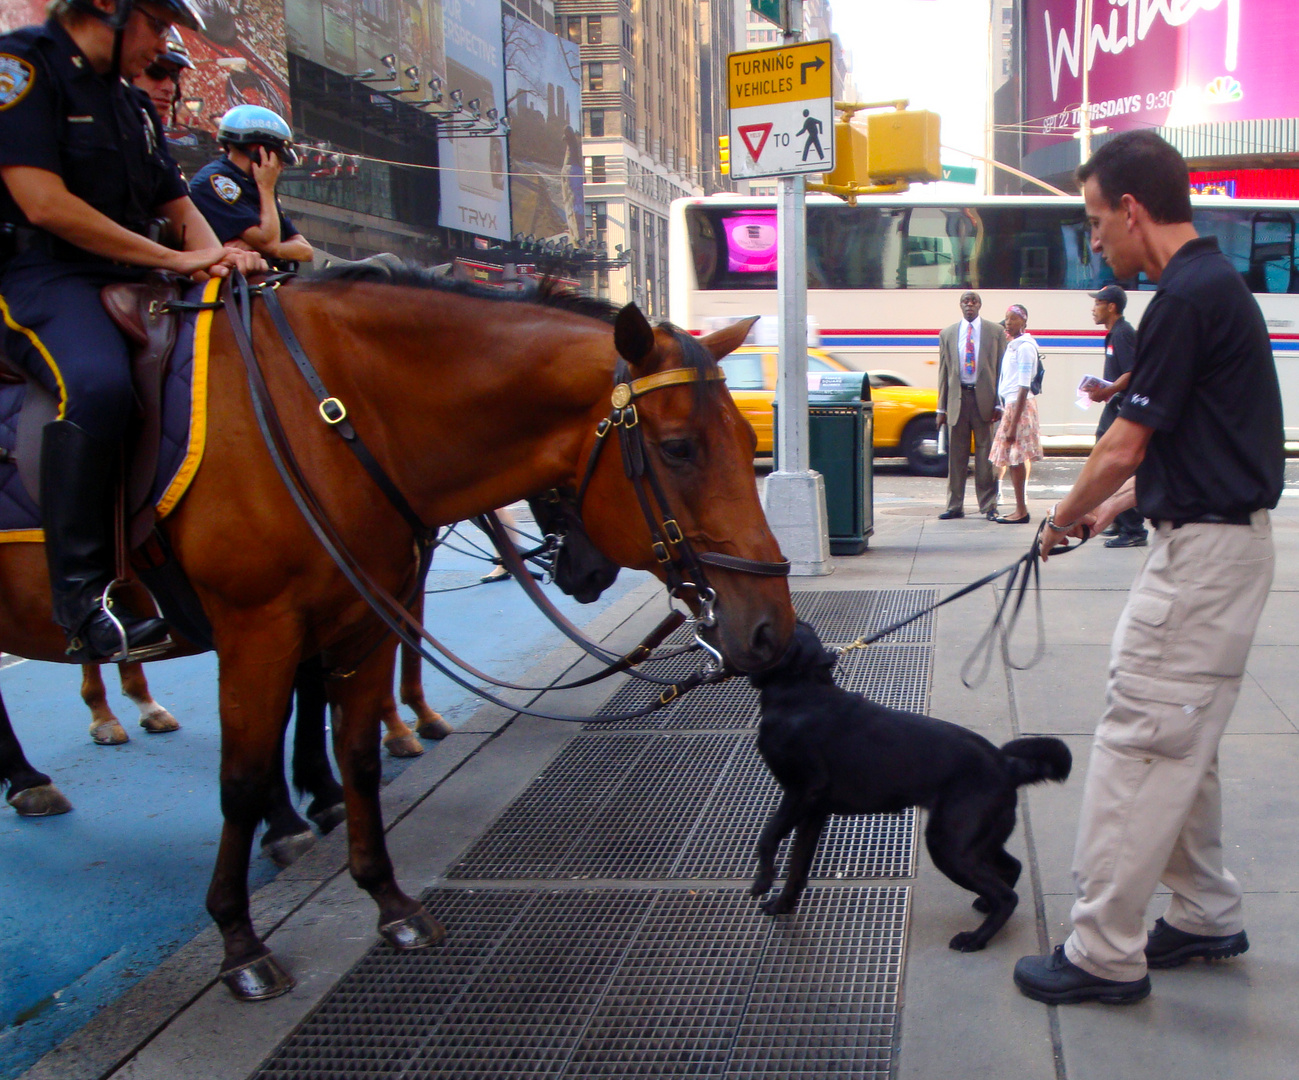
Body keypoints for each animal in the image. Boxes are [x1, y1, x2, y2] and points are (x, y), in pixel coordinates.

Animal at [0, 274, 789, 1003]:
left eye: (747, 440)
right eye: (679, 448)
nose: (770, 628)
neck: (330, 420)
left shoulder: (359, 617)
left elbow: (355, 755)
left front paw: (385, 894)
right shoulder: (260, 628)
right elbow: (245, 778)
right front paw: (239, 937)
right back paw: (100, 716)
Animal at [748, 621, 1070, 951]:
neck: (801, 689)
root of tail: (1007, 766)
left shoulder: (800, 793)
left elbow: (768, 837)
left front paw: (762, 879)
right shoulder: (812, 813)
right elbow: (797, 867)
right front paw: (783, 904)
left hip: (949, 846)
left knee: (1007, 896)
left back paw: (975, 938)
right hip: (976, 843)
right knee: (1012, 868)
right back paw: (985, 906)